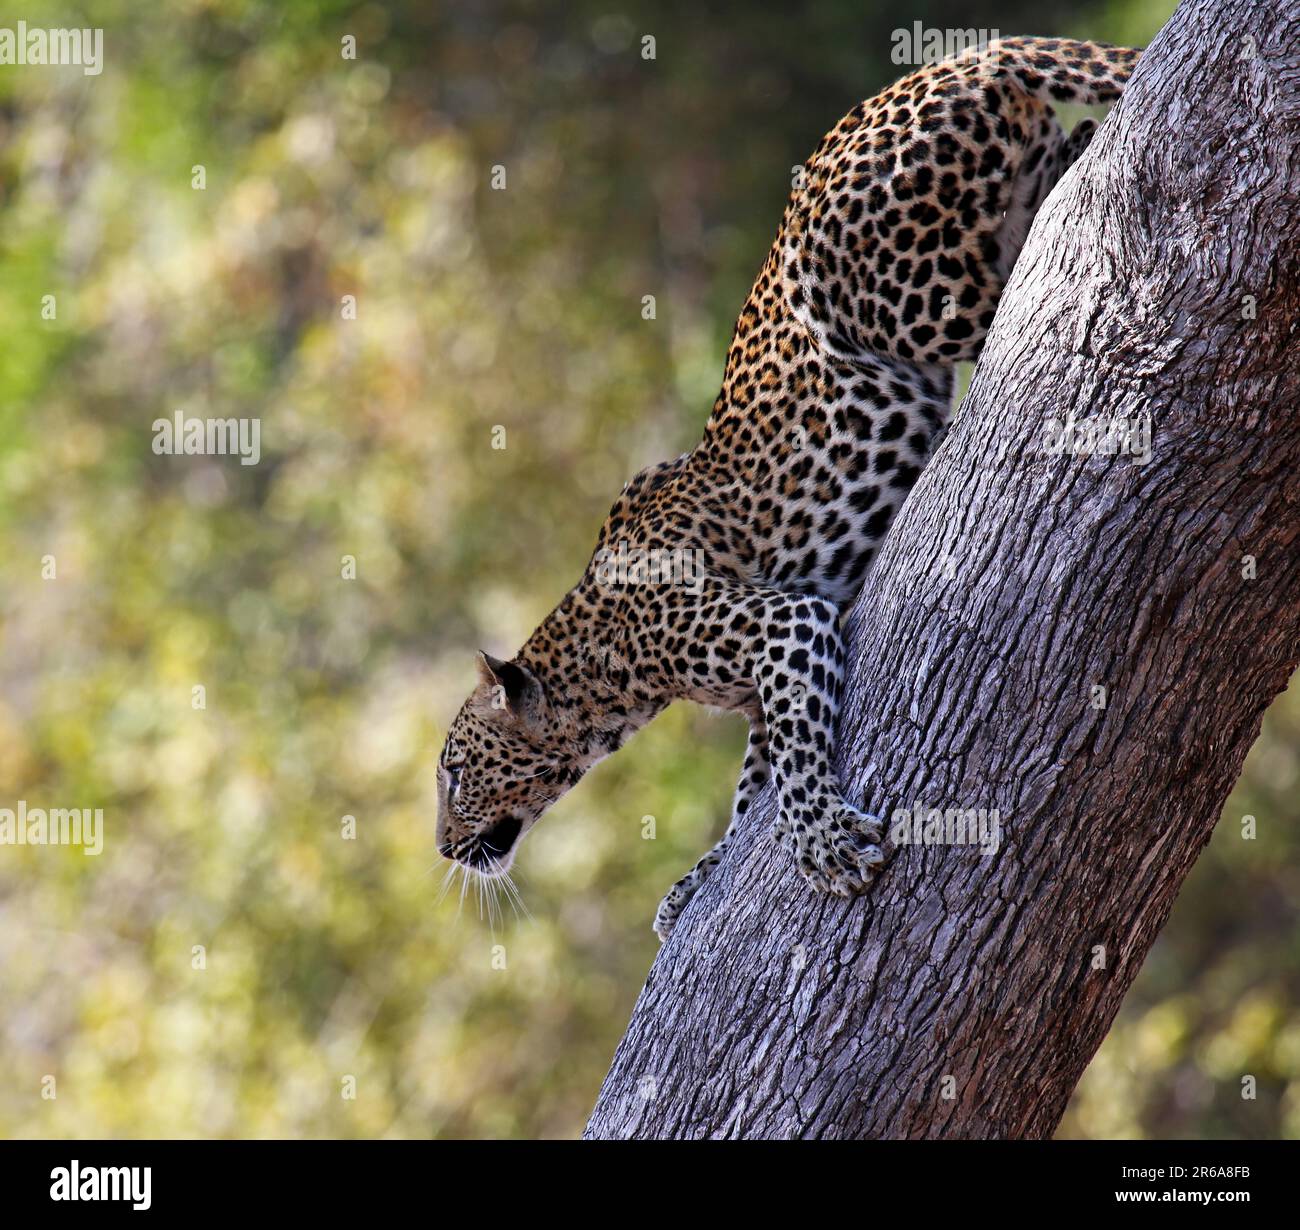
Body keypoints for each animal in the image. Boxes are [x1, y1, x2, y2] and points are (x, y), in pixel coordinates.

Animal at [436, 37, 1141, 941]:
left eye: (455, 771)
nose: (443, 848)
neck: (606, 678)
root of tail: (944, 63)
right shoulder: (767, 675)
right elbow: (748, 794)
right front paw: (695, 882)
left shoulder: (784, 623)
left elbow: (796, 762)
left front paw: (821, 842)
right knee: (1068, 151)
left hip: (916, 297)